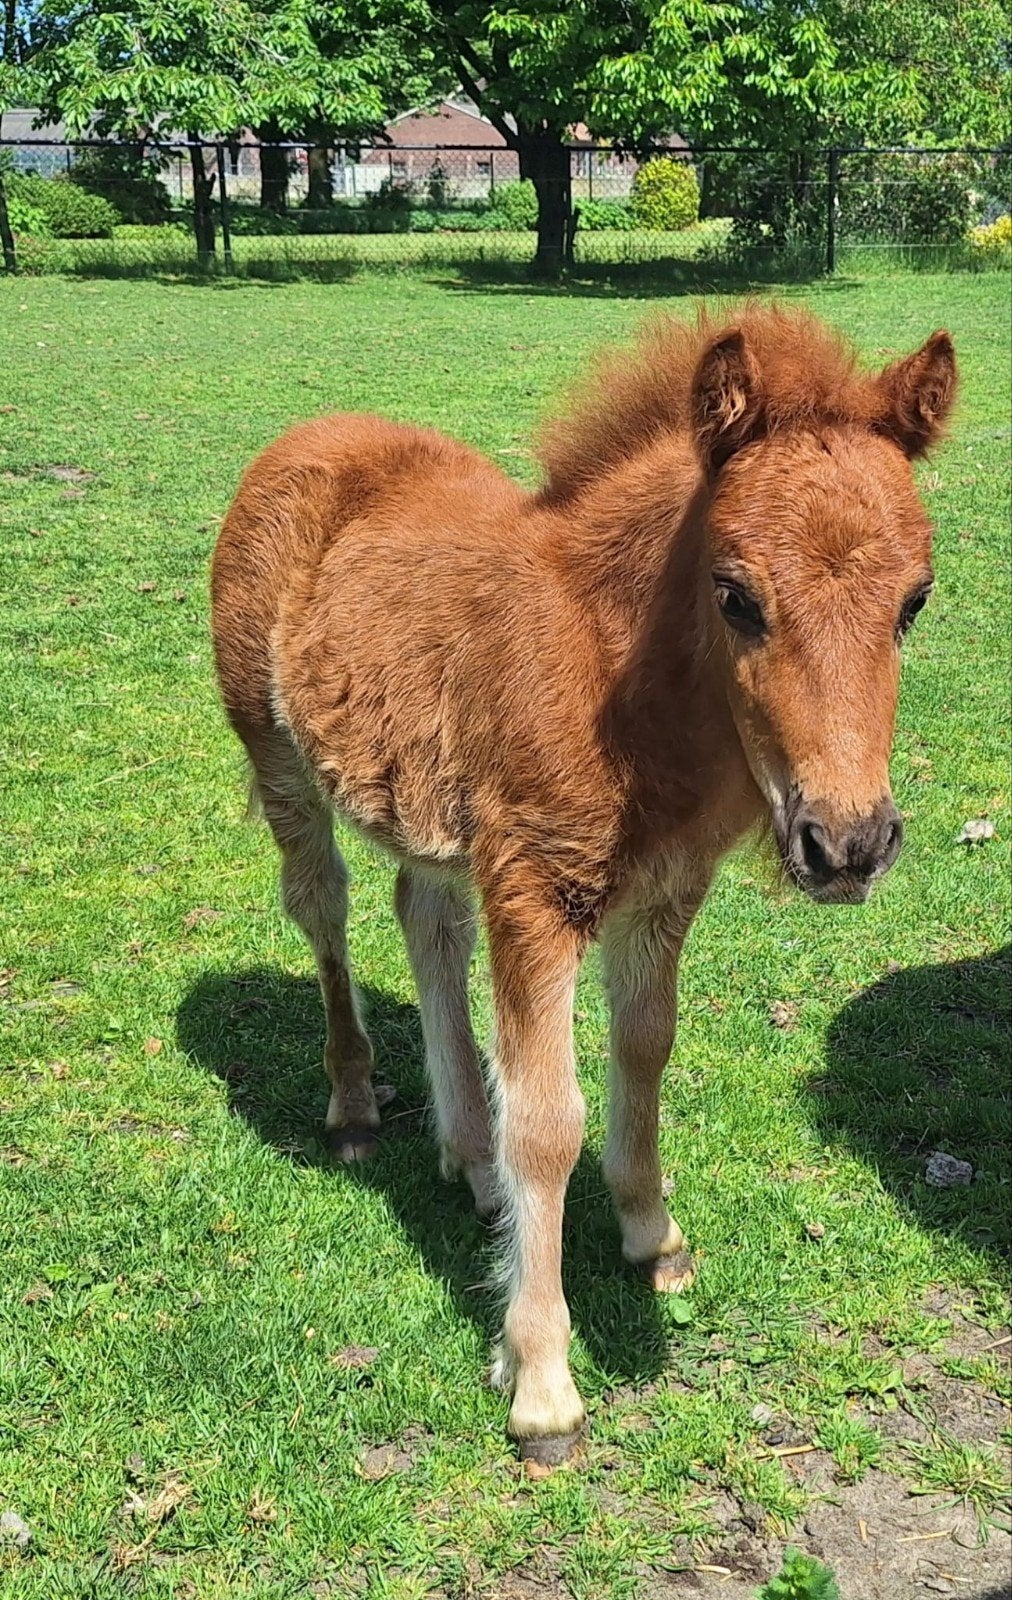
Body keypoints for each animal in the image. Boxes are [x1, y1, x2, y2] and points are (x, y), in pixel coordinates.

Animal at [211, 303, 955, 1466]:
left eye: (914, 601)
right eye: (735, 595)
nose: (847, 844)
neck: (615, 671)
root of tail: (305, 436)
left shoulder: (663, 891)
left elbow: (644, 1050)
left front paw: (651, 1233)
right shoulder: (533, 890)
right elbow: (549, 1121)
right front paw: (542, 1381)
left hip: (429, 811)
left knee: (424, 920)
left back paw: (469, 1163)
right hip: (279, 757)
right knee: (322, 908)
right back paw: (354, 1105)